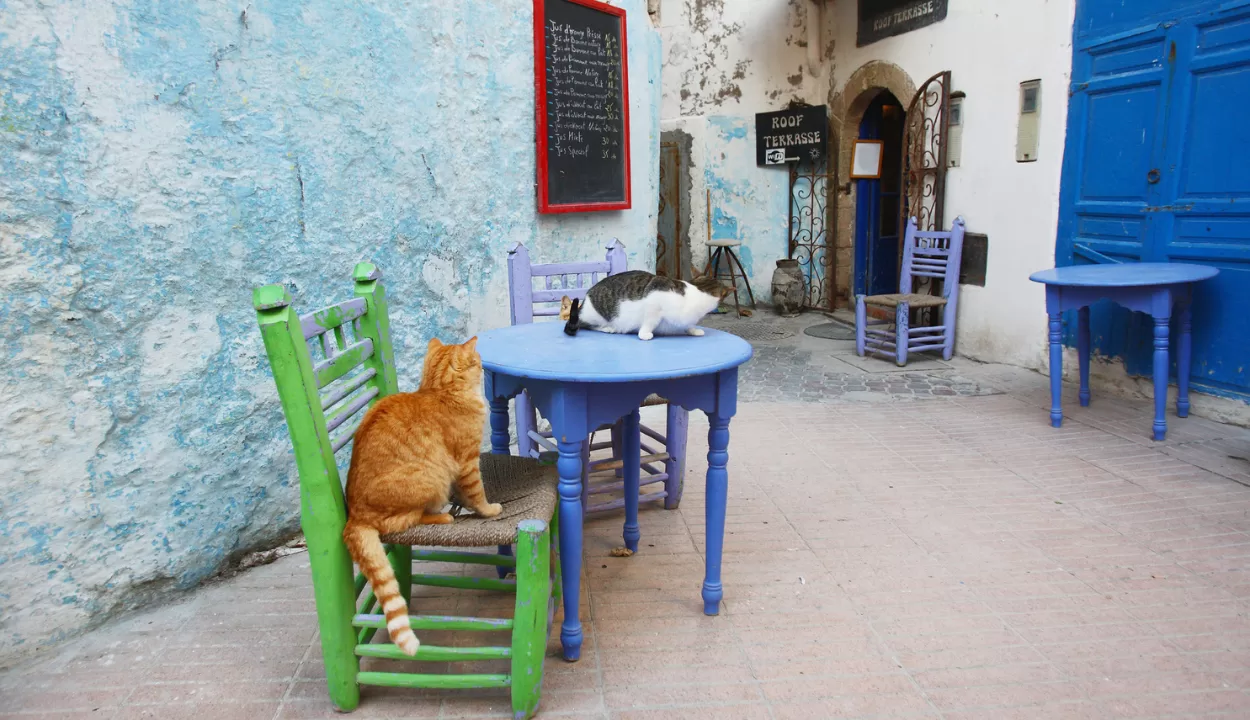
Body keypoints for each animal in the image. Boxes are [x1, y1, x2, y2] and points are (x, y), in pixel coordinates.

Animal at [342, 335, 502, 655]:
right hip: (431, 477)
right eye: (478, 361)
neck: (440, 390)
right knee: (406, 520)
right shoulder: (467, 462)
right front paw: (488, 509)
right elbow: (478, 494)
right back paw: (442, 517)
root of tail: (354, 517)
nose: (483, 369)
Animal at [560, 270, 730, 340]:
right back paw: (608, 328)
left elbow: (689, 325)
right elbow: (649, 322)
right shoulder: (654, 301)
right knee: (588, 325)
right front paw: (645, 334)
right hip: (595, 314)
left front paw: (693, 330)